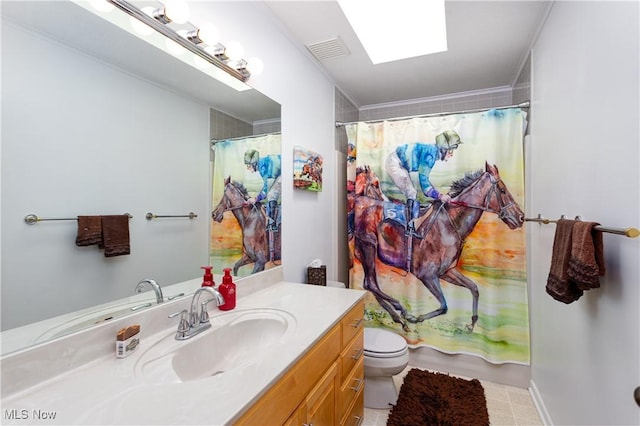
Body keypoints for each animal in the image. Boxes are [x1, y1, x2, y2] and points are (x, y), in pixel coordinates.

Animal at [352, 161, 524, 332]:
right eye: (502, 190)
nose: (521, 217)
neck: (450, 225)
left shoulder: (447, 272)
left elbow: (474, 288)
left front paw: (472, 323)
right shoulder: (427, 275)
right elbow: (444, 306)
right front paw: (414, 317)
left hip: (364, 250)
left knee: (369, 284)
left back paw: (399, 317)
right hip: (368, 246)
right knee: (371, 283)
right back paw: (401, 310)